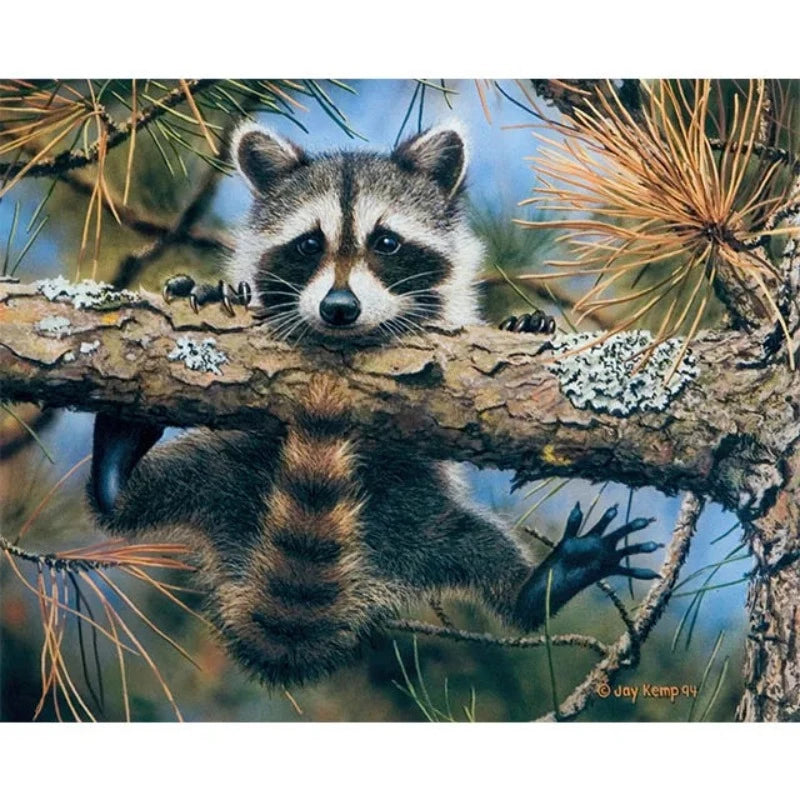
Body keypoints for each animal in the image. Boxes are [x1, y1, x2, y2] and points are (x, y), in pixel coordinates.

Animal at [89, 122, 660, 688]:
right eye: (309, 244)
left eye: (386, 243)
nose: (339, 308)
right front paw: (216, 290)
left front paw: (528, 324)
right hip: (223, 469)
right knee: (128, 504)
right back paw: (116, 463)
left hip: (425, 512)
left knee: (488, 558)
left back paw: (541, 585)